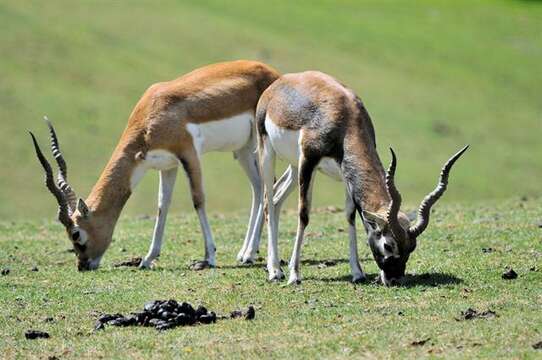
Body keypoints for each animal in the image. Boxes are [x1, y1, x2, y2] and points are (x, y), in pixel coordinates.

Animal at [29, 60, 280, 272]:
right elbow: (162, 206)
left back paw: (250, 255)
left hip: (258, 146)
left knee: (268, 187)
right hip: (243, 149)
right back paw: (247, 253)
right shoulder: (167, 166)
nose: (83, 265)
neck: (152, 114)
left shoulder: (189, 153)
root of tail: (274, 74)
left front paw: (208, 257)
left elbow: (198, 200)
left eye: (76, 234)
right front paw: (148, 259)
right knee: (259, 188)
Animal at [258, 71, 470, 286]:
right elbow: (304, 214)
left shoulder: (345, 174)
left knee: (276, 199)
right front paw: (294, 275)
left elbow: (350, 216)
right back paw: (275, 271)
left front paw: (358, 273)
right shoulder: (309, 161)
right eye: (388, 245)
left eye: (411, 247)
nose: (394, 279)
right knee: (268, 200)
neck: (344, 118)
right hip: (269, 153)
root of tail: (279, 83)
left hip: (294, 166)